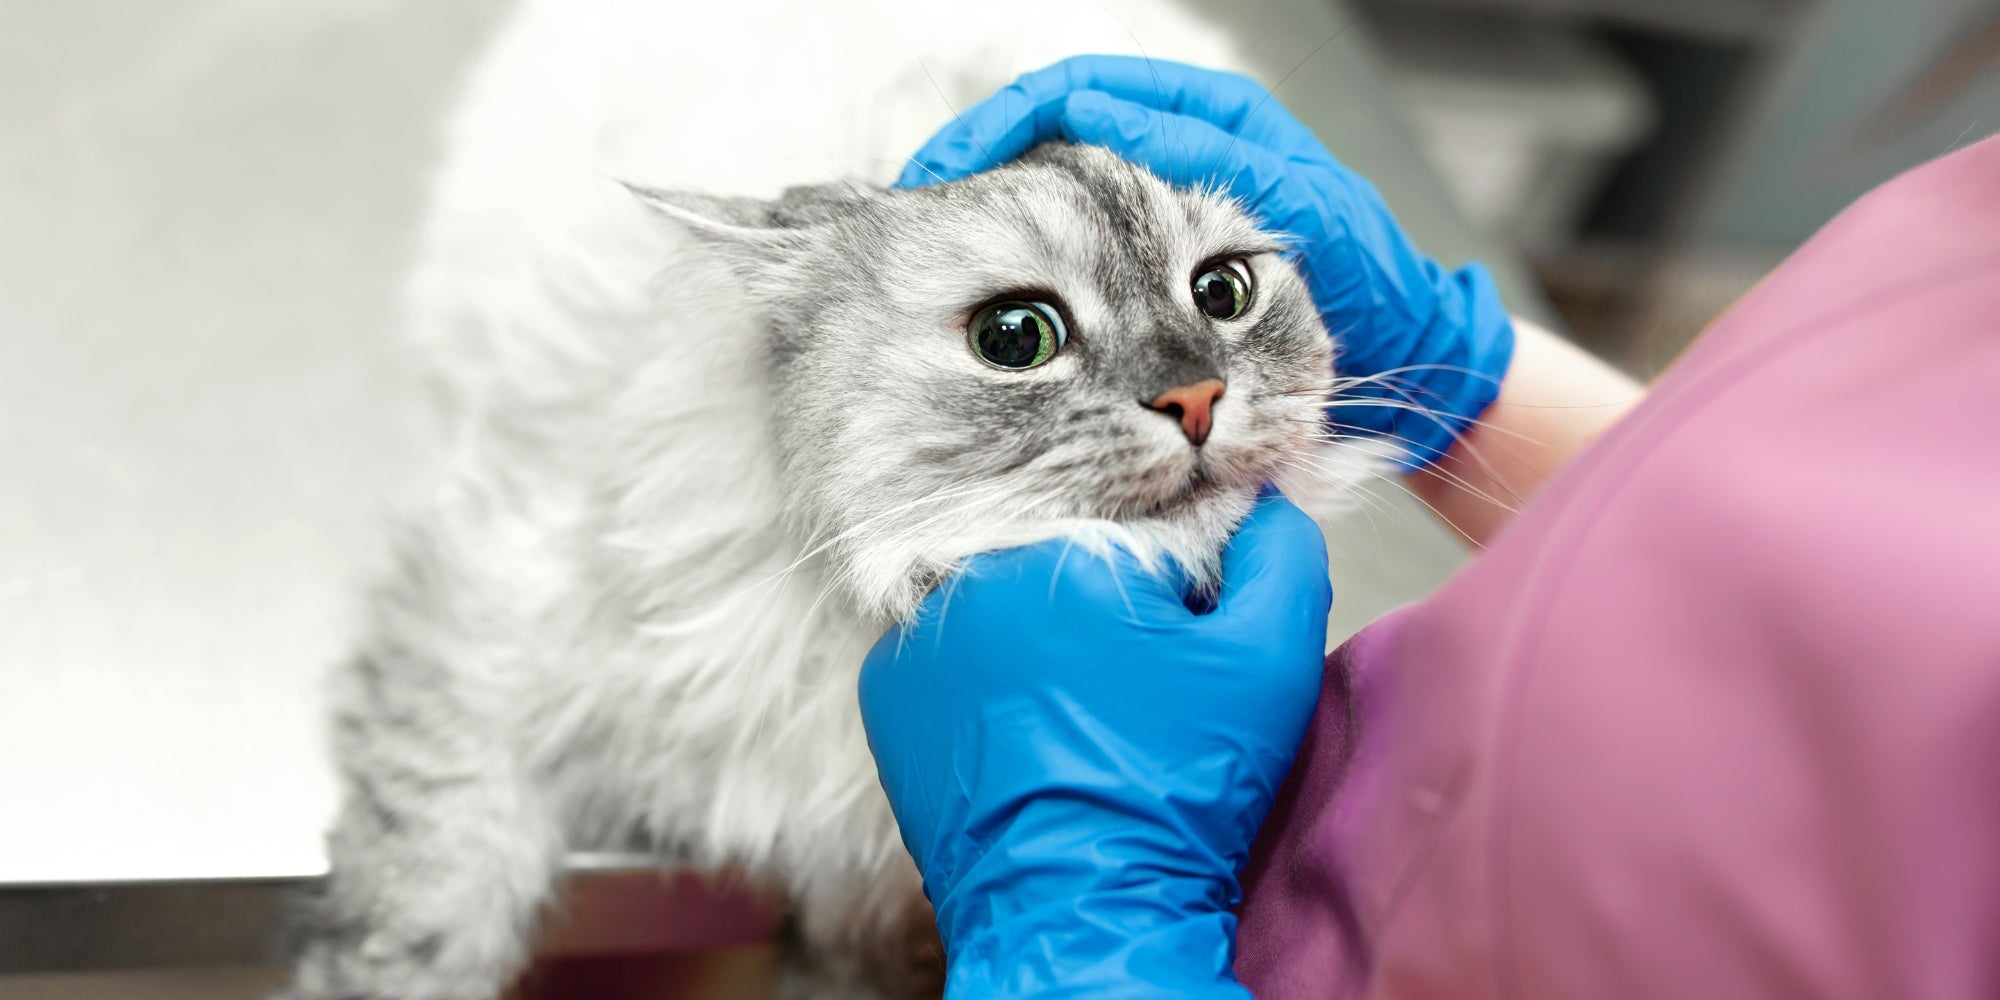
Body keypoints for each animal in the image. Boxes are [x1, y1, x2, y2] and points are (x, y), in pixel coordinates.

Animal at [274, 3, 1392, 996]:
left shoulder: (879, 913)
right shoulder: (472, 654)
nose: (1197, 396)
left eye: (1221, 294)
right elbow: (423, 917)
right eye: (1015, 338)